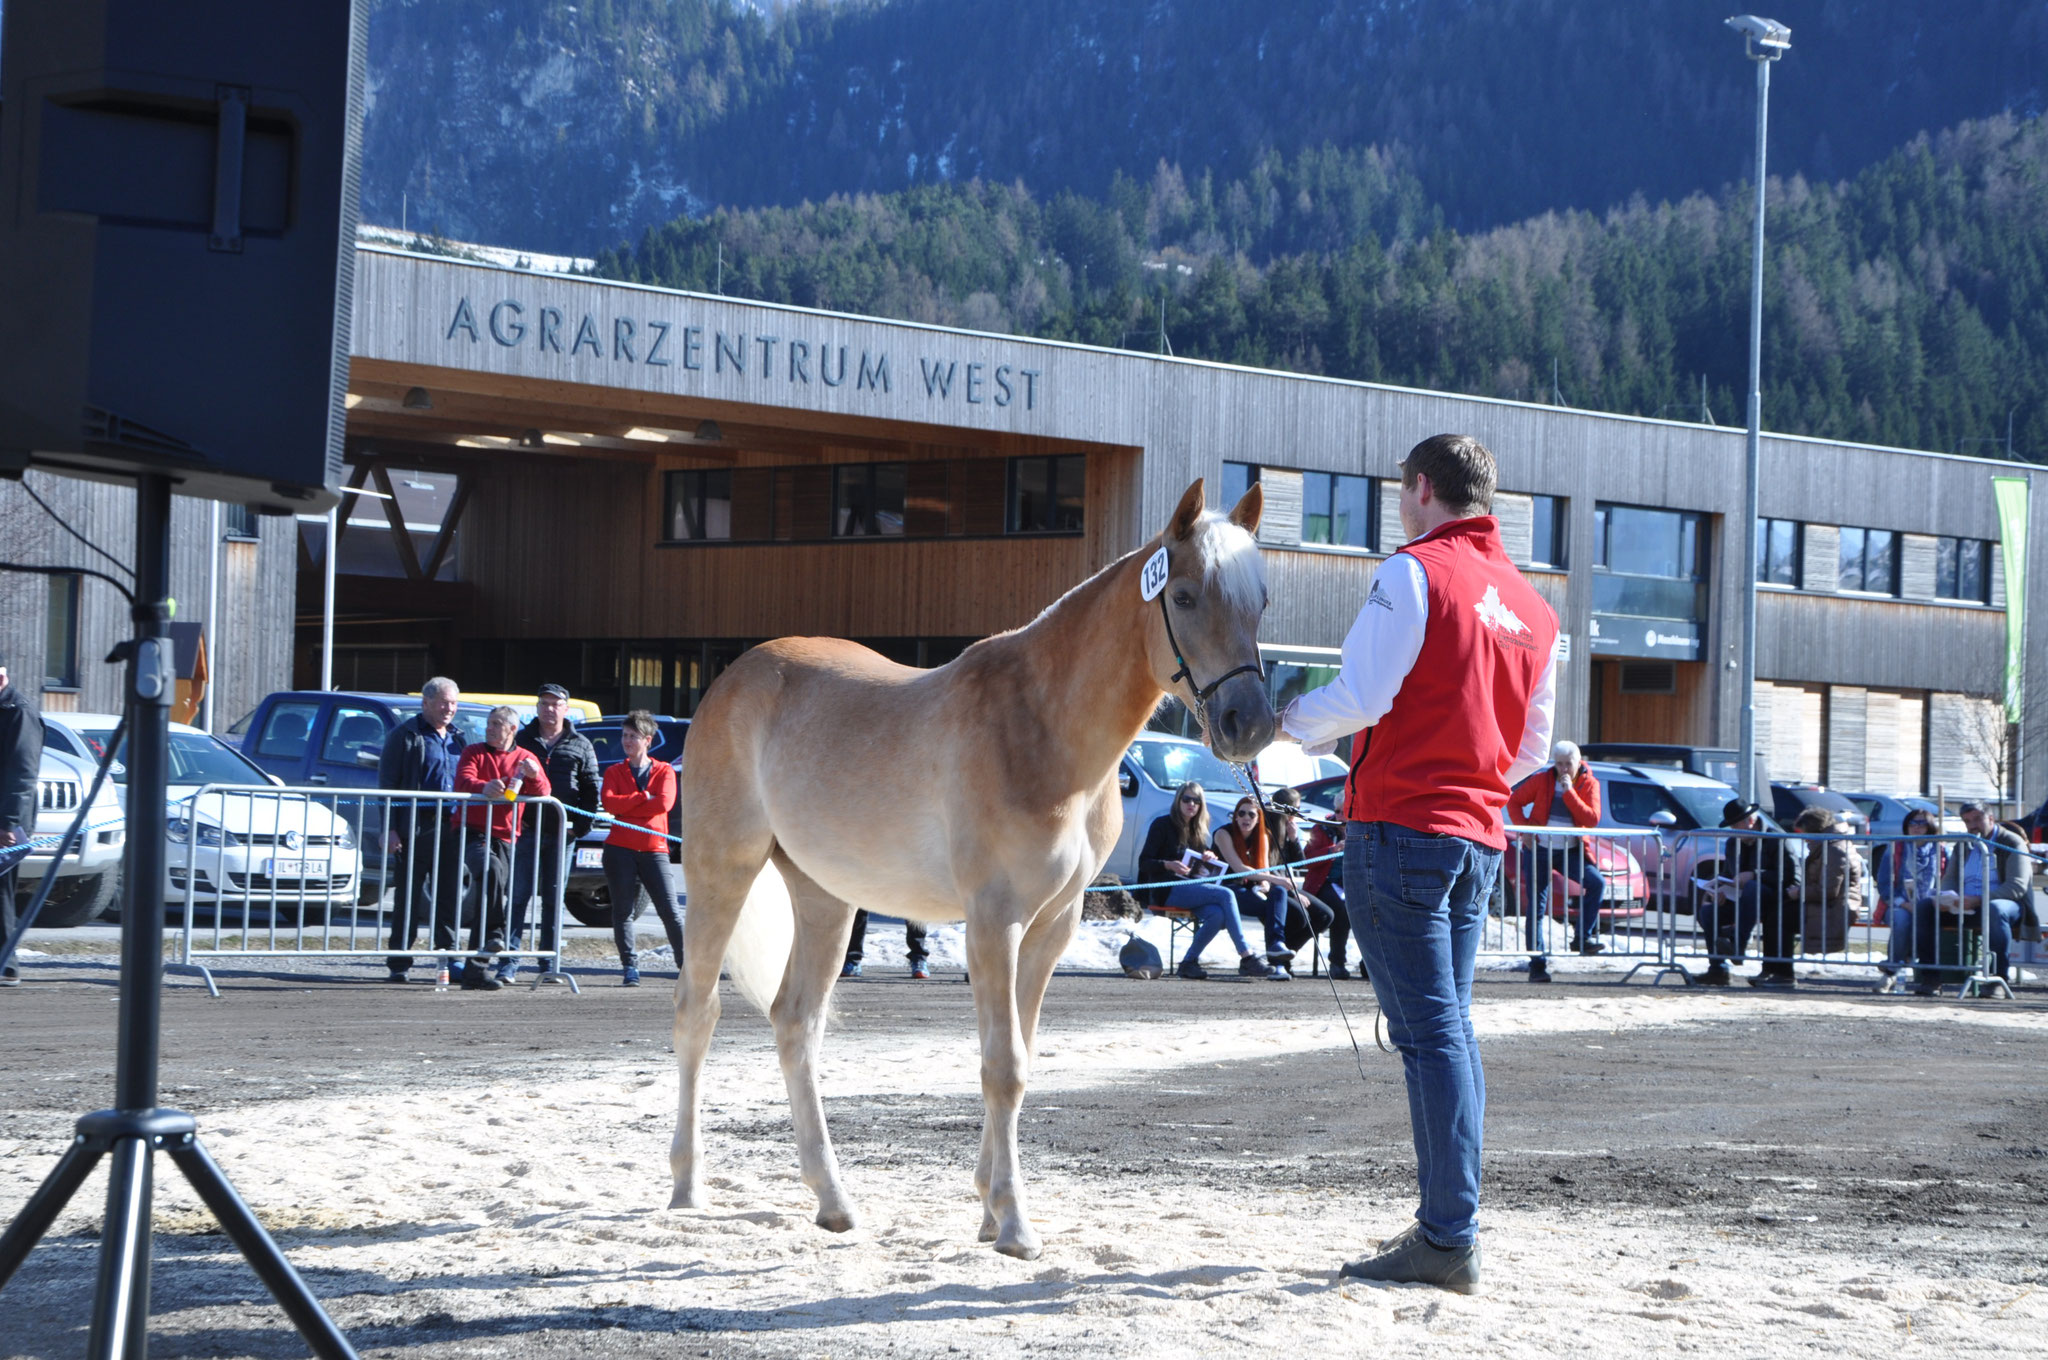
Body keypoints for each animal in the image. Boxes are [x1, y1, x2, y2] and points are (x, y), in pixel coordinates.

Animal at [671, 475, 1269, 1253]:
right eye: (1188, 595)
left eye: (1261, 601)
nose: (1248, 724)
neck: (1046, 727)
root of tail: (732, 680)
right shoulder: (994, 921)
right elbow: (1003, 1066)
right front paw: (1012, 1222)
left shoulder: (1050, 928)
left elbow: (1021, 1053)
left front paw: (988, 1206)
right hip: (724, 869)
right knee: (698, 1010)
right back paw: (687, 1187)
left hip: (825, 897)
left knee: (796, 1022)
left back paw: (833, 1200)